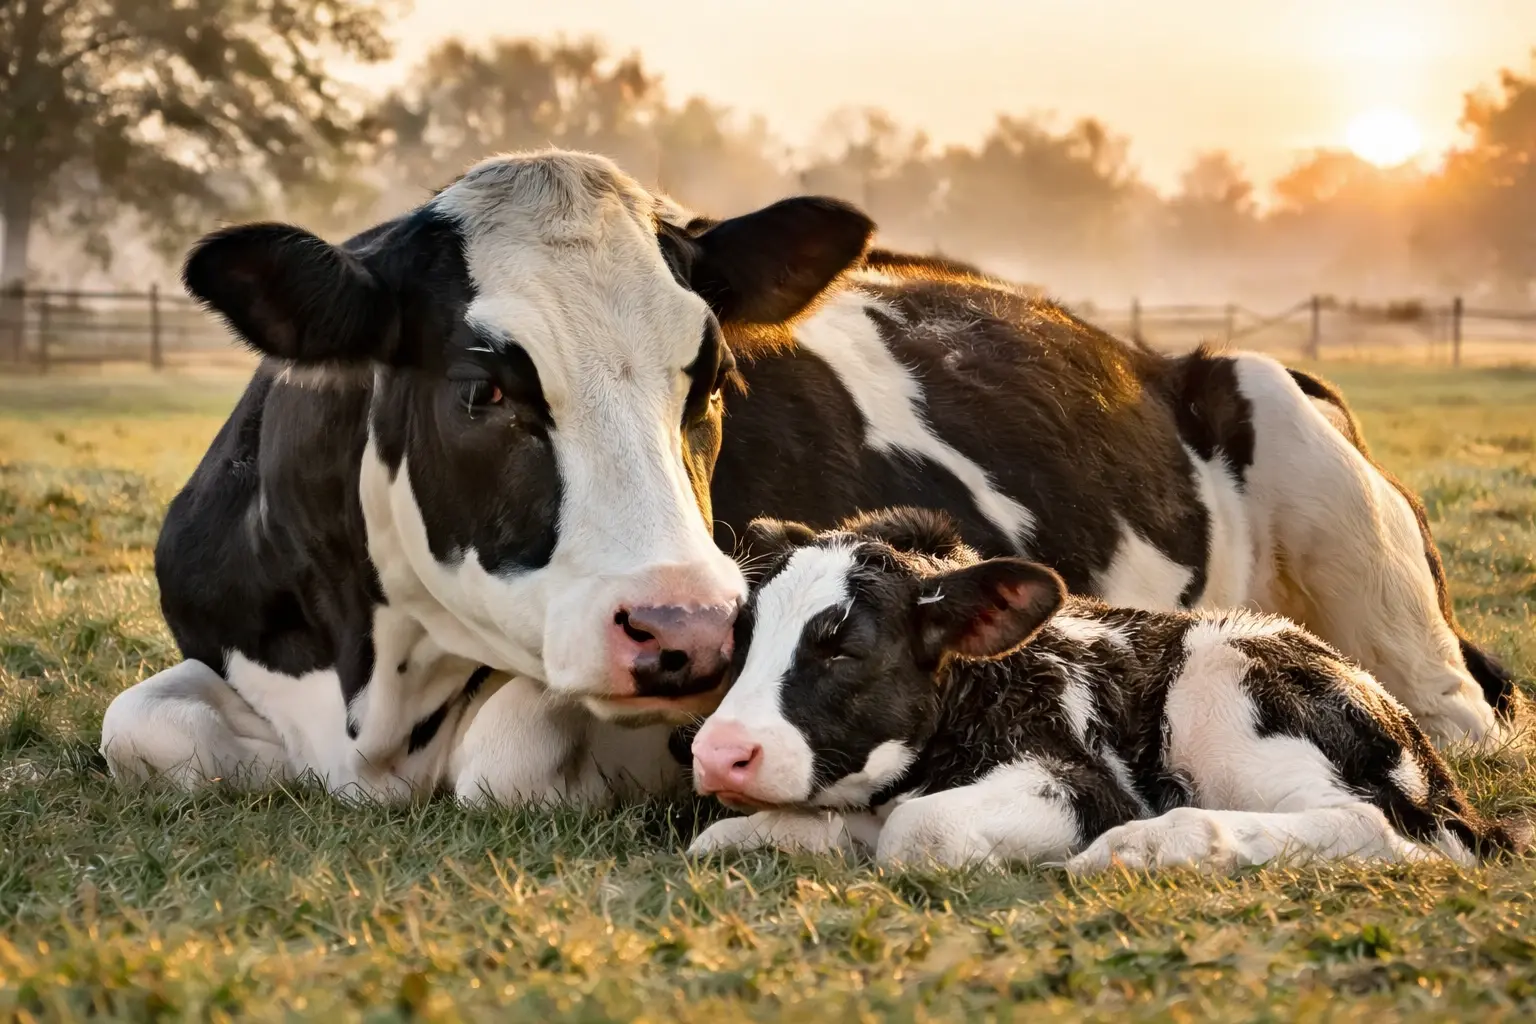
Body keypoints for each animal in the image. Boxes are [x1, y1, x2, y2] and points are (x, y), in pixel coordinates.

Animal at [99, 149, 1517, 806]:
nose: (684, 627)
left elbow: (505, 745)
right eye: (484, 387)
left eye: (710, 377)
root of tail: (1153, 352)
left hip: (1298, 433)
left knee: (1457, 706)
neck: (372, 697)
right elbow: (139, 722)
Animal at [685, 508, 1526, 871]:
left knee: (1376, 829)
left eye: (845, 648)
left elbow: (919, 834)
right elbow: (725, 836)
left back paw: (1150, 846)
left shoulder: (1082, 780)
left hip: (1227, 691)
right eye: (740, 639)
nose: (720, 754)